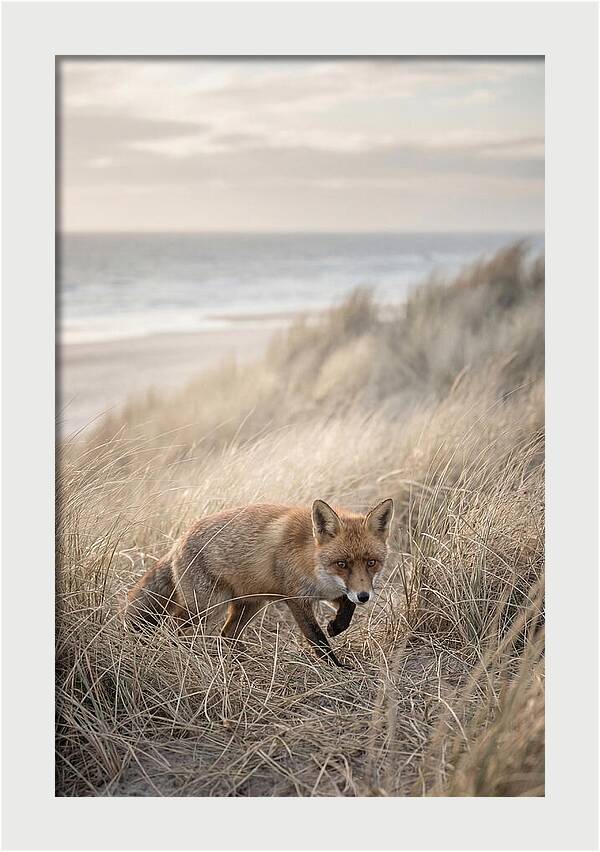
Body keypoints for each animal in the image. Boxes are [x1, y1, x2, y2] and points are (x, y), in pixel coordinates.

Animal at [124, 497, 394, 667]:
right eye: (342, 564)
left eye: (371, 562)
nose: (364, 597)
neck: (312, 559)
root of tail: (178, 541)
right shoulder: (296, 598)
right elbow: (317, 638)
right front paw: (337, 668)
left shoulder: (334, 592)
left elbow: (347, 609)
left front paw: (336, 626)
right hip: (207, 608)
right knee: (174, 627)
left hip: (250, 604)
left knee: (227, 634)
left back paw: (239, 661)